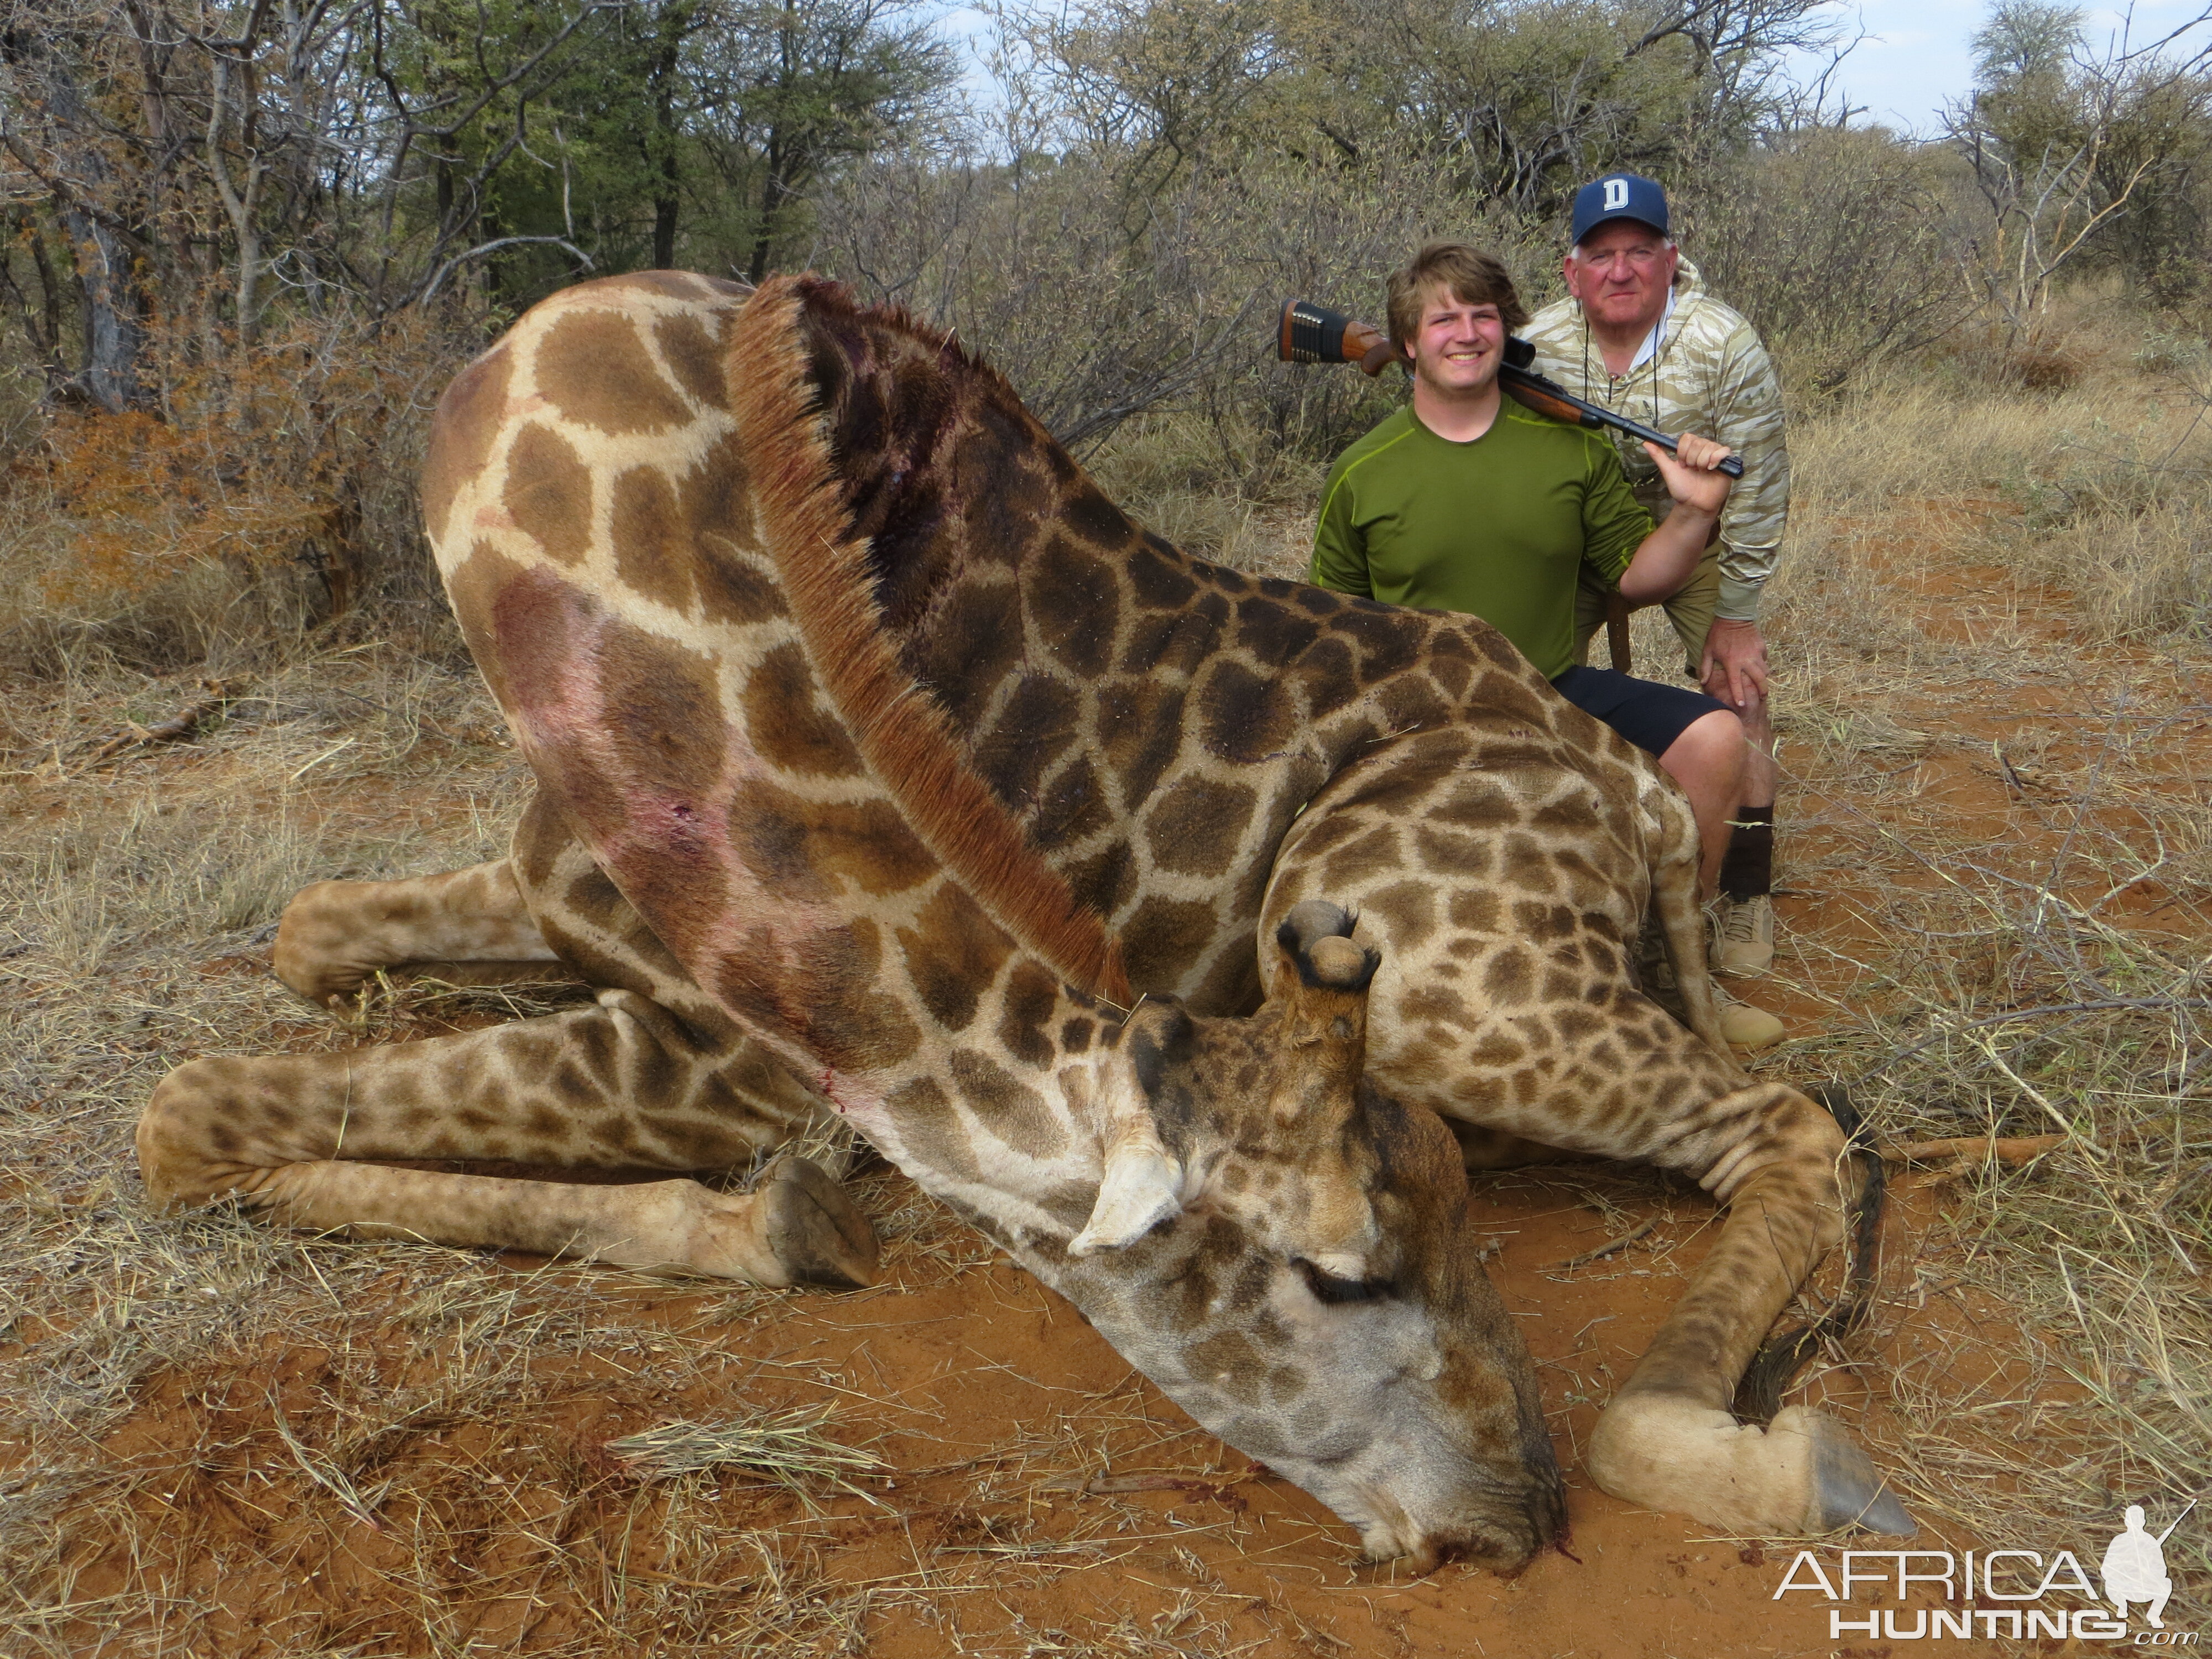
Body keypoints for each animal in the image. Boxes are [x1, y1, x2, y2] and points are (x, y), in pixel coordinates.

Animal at [138, 273, 1911, 1557]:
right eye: (1336, 1275)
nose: (1514, 1517)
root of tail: (1630, 794)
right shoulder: (558, 897)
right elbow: (292, 954)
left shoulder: (739, 1054)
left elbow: (191, 1114)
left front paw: (776, 1221)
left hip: (1442, 983)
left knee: (1791, 1121)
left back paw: (1750, 1461)